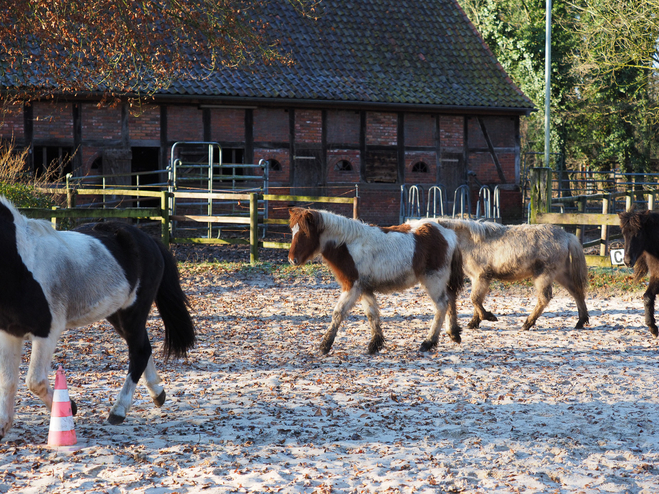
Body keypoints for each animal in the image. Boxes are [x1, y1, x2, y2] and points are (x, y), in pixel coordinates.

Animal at [0, 195, 196, 438]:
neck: (21, 263)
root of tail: (150, 240)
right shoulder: (9, 333)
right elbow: (8, 380)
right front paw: (3, 425)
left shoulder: (46, 333)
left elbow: (34, 381)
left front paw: (70, 407)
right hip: (116, 314)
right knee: (145, 347)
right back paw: (157, 393)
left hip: (133, 312)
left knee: (139, 352)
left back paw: (119, 410)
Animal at [288, 206, 464, 354]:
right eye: (292, 231)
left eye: (305, 233)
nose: (291, 260)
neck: (348, 244)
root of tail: (445, 230)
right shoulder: (364, 288)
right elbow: (372, 314)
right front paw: (375, 344)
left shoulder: (352, 286)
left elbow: (338, 312)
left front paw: (324, 346)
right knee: (451, 298)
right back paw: (453, 333)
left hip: (433, 279)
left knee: (441, 305)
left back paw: (428, 342)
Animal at [430, 219, 592, 332]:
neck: (469, 242)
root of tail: (567, 236)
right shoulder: (478, 279)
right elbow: (478, 299)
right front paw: (474, 323)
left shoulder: (481, 277)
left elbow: (475, 299)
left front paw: (488, 317)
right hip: (560, 274)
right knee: (577, 292)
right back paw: (581, 321)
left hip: (544, 275)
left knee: (544, 298)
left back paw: (527, 324)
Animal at [620, 210, 659, 338]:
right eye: (623, 234)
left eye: (639, 234)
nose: (627, 261)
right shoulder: (656, 275)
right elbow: (647, 297)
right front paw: (652, 328)